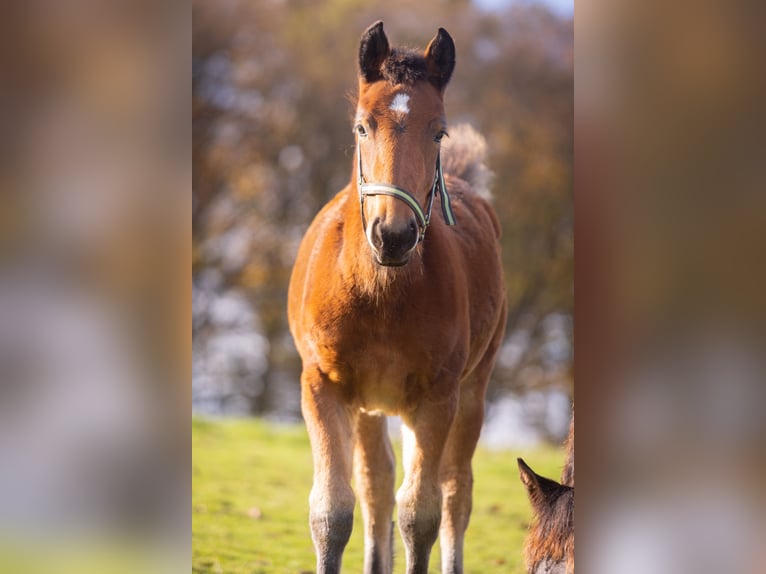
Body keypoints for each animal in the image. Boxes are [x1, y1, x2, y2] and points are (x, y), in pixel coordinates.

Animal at [287, 21, 507, 574]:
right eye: (362, 126)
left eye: (439, 131)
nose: (394, 235)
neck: (380, 294)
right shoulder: (322, 386)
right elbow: (332, 510)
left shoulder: (437, 396)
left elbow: (420, 514)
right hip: (370, 404)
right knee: (378, 485)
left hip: (470, 390)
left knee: (454, 492)